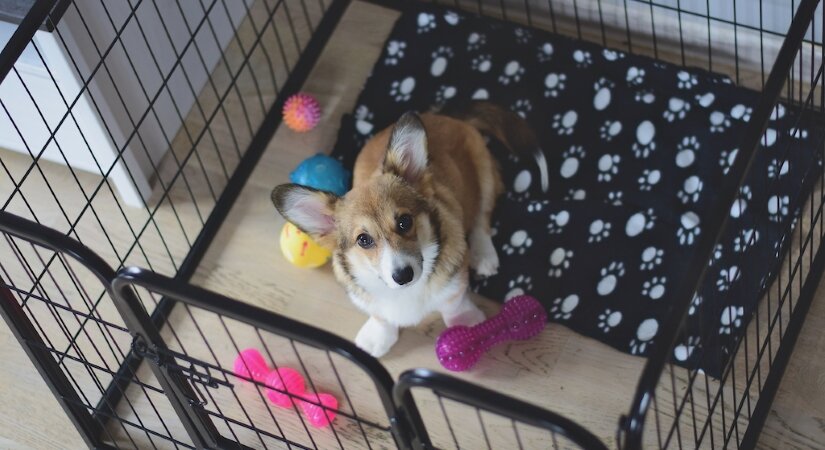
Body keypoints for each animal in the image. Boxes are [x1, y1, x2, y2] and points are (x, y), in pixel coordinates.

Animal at [272, 103, 540, 358]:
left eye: (404, 222)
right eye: (363, 240)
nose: (403, 276)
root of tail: (446, 115)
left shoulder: (455, 278)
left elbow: (453, 302)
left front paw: (466, 322)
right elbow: (381, 317)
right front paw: (377, 338)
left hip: (484, 173)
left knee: (482, 220)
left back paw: (484, 255)